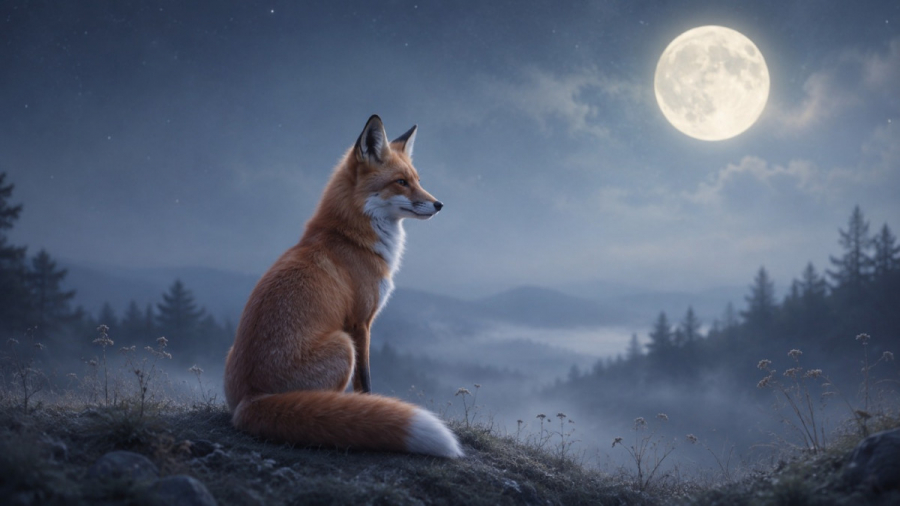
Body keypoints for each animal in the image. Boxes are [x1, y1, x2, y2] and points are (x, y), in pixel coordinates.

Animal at [223, 115, 462, 458]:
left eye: (417, 180)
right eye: (401, 182)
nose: (439, 204)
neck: (351, 237)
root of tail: (248, 400)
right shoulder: (360, 322)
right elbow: (365, 382)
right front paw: (371, 407)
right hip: (342, 346)